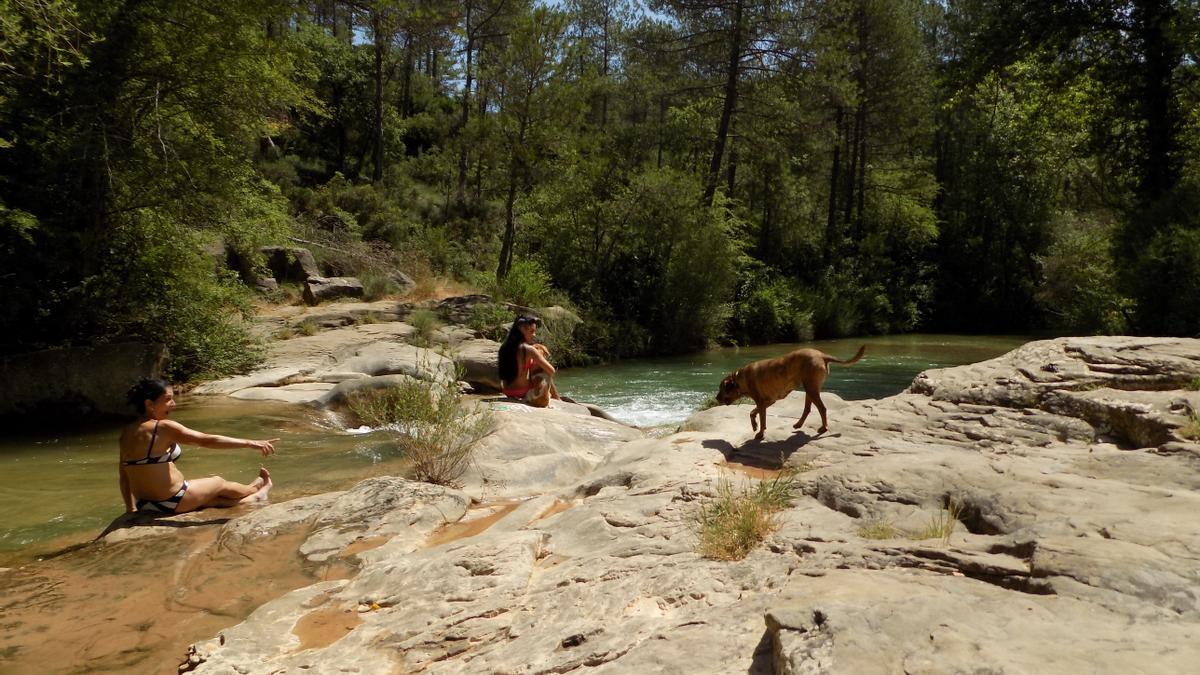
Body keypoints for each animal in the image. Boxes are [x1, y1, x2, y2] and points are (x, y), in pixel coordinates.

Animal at [715, 343, 868, 439]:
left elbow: (762, 419)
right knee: (807, 409)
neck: (740, 378)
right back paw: (799, 424)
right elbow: (752, 413)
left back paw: (823, 428)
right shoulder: (768, 401)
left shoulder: (761, 402)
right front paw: (754, 426)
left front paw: (760, 433)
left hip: (811, 389)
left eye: (721, 388)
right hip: (810, 389)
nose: (716, 398)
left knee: (822, 408)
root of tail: (822, 355)